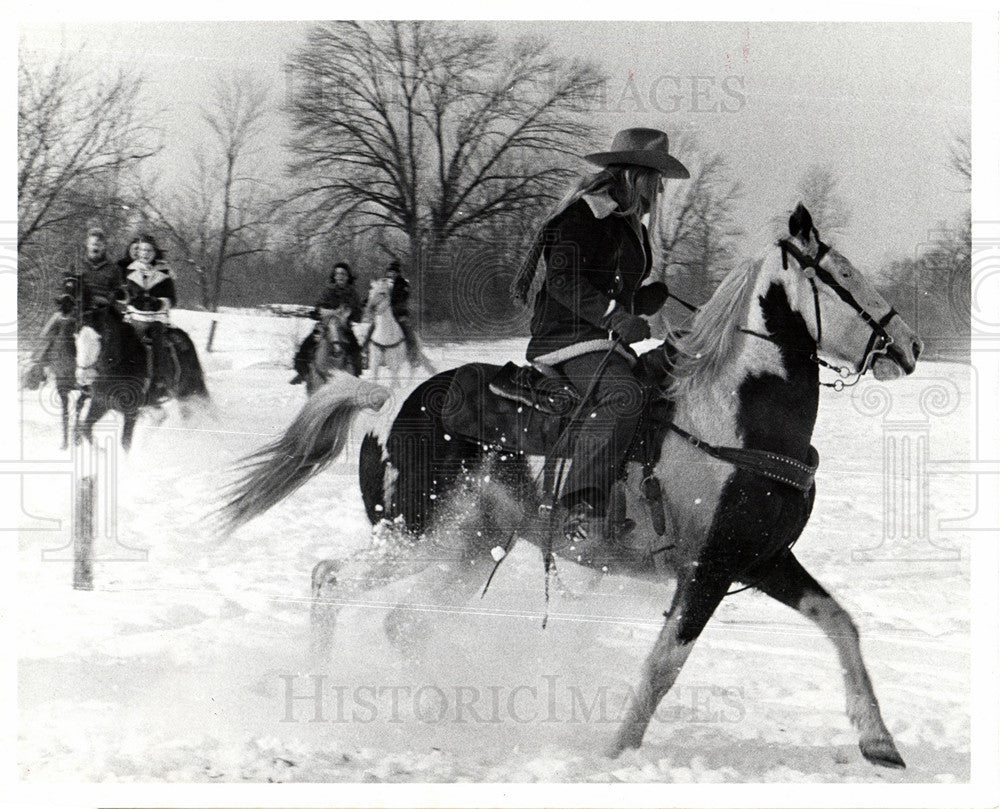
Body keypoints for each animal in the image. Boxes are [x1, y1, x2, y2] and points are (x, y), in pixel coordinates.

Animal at [74, 306, 209, 452]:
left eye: (103, 336)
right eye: (77, 336)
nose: (84, 376)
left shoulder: (131, 411)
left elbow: (125, 443)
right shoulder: (100, 403)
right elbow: (86, 429)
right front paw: (102, 451)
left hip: (190, 391)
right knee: (162, 416)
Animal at [223, 205, 924, 768]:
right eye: (844, 276)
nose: (910, 343)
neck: (730, 416)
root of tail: (390, 403)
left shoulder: (762, 557)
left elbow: (841, 623)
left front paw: (879, 742)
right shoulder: (709, 568)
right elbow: (663, 665)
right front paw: (617, 750)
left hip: (469, 547)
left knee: (404, 623)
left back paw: (444, 707)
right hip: (419, 535)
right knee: (332, 581)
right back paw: (322, 691)